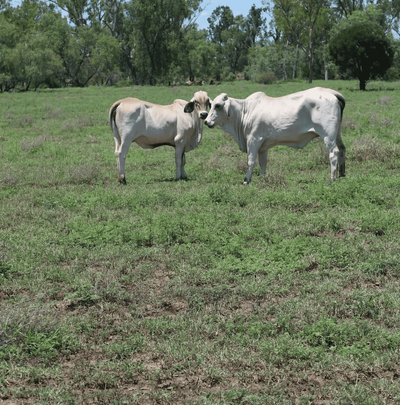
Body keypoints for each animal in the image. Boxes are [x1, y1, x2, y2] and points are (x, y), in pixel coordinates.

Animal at [205, 88, 346, 185]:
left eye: (218, 105)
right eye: (210, 105)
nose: (206, 121)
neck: (244, 112)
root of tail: (331, 92)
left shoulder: (253, 140)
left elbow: (251, 161)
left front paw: (246, 180)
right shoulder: (263, 146)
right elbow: (263, 163)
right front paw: (262, 178)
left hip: (328, 135)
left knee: (334, 153)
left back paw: (332, 178)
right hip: (337, 133)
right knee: (342, 149)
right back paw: (342, 174)